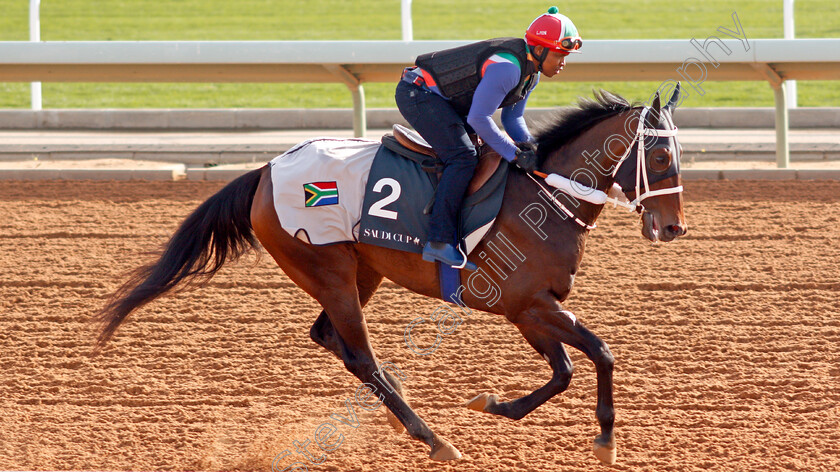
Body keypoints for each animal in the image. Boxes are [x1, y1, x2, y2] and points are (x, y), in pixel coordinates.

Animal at [95, 85, 684, 464]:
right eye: (658, 157)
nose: (673, 227)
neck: (545, 195)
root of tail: (265, 171)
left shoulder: (530, 308)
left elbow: (563, 371)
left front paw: (495, 404)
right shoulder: (528, 303)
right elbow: (600, 353)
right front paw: (605, 441)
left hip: (361, 271)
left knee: (330, 338)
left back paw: (407, 410)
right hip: (327, 269)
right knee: (358, 354)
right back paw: (433, 438)